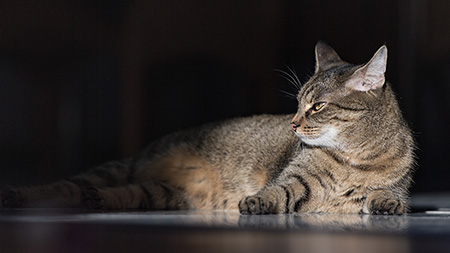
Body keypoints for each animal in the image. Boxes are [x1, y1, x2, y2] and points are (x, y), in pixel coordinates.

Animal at [0, 42, 414, 215]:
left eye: (318, 106)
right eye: (298, 103)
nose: (294, 123)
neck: (356, 158)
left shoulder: (393, 185)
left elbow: (387, 194)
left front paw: (387, 203)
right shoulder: (293, 180)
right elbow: (277, 191)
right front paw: (255, 202)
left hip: (162, 193)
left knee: (116, 193)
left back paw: (96, 201)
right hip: (117, 168)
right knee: (62, 186)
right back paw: (16, 195)